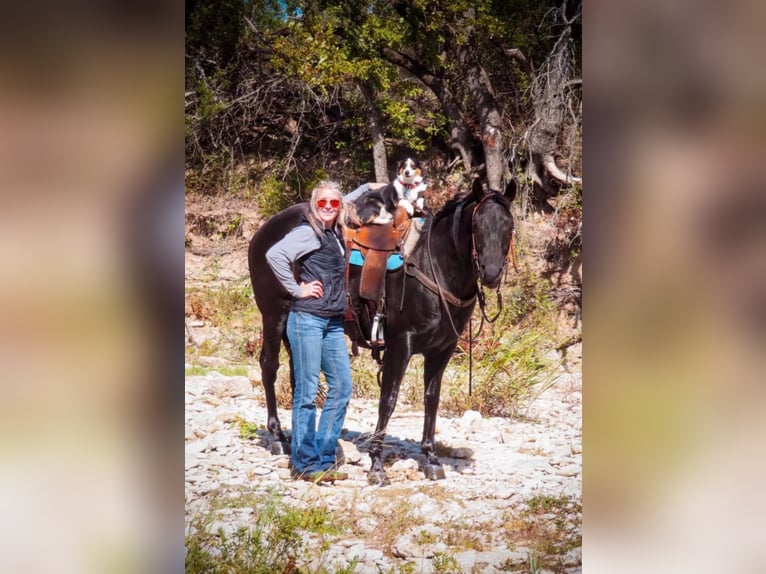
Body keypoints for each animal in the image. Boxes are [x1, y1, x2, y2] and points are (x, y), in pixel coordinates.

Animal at [250, 178, 516, 484]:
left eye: (508, 226)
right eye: (476, 227)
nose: (492, 273)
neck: (435, 267)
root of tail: (264, 231)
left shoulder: (442, 351)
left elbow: (432, 400)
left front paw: (430, 457)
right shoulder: (400, 345)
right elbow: (388, 400)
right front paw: (376, 464)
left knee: (298, 377)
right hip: (274, 316)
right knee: (270, 367)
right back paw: (278, 438)